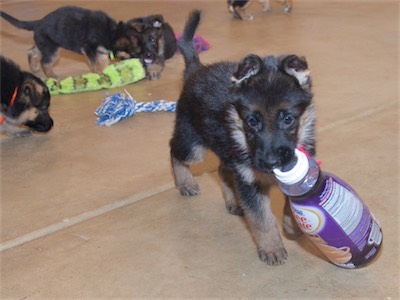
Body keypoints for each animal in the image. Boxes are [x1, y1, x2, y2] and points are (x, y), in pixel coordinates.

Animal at [0, 6, 143, 78]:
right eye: (135, 52)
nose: (140, 61)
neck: (112, 32)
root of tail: (38, 22)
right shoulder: (90, 49)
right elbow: (95, 64)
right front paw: (100, 73)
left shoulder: (100, 52)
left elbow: (103, 61)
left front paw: (105, 70)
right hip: (52, 50)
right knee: (45, 63)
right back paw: (53, 76)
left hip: (45, 45)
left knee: (31, 52)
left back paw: (34, 68)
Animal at [170, 10, 316, 266]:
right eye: (252, 121)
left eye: (288, 119)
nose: (270, 162)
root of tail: (195, 70)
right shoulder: (250, 184)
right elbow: (262, 219)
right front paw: (272, 248)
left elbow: (291, 203)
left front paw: (292, 226)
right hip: (193, 145)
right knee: (175, 151)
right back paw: (185, 182)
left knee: (222, 171)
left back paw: (233, 201)